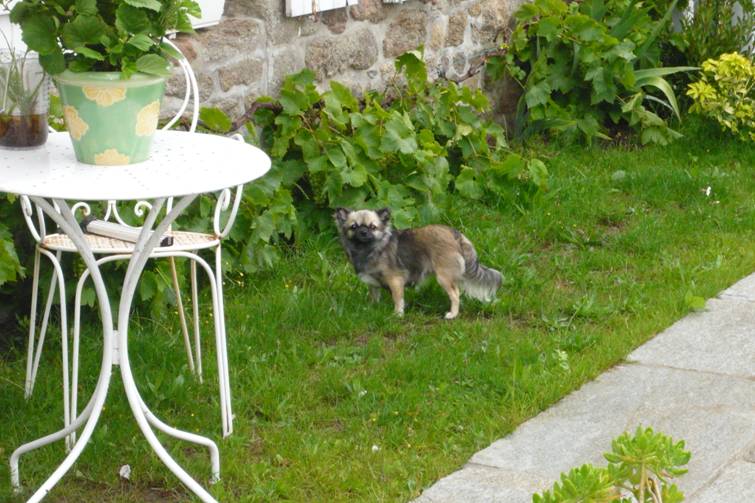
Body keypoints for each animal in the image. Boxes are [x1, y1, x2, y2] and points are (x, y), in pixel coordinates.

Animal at [336, 208, 502, 318]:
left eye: (372, 227)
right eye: (354, 227)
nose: (363, 232)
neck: (371, 248)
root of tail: (455, 234)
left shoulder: (395, 281)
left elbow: (398, 299)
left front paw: (397, 314)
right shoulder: (373, 283)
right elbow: (374, 296)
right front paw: (372, 308)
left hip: (443, 277)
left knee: (455, 294)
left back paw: (452, 314)